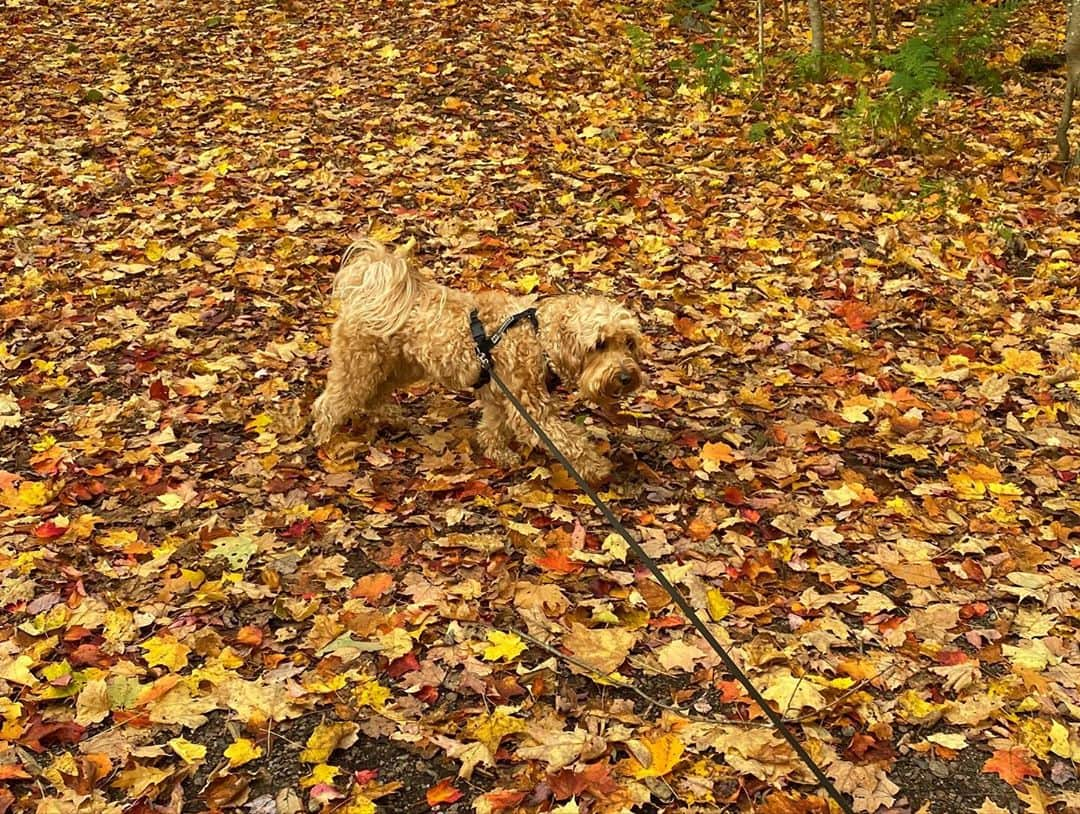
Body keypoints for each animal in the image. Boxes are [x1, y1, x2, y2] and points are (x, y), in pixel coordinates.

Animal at [315, 236, 643, 481]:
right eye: (599, 344)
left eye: (628, 342)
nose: (626, 377)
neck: (538, 336)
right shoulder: (532, 411)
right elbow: (569, 441)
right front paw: (597, 468)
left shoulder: (501, 397)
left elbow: (493, 427)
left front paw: (498, 453)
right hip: (358, 366)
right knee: (329, 404)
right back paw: (327, 439)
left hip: (397, 366)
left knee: (374, 395)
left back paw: (390, 417)